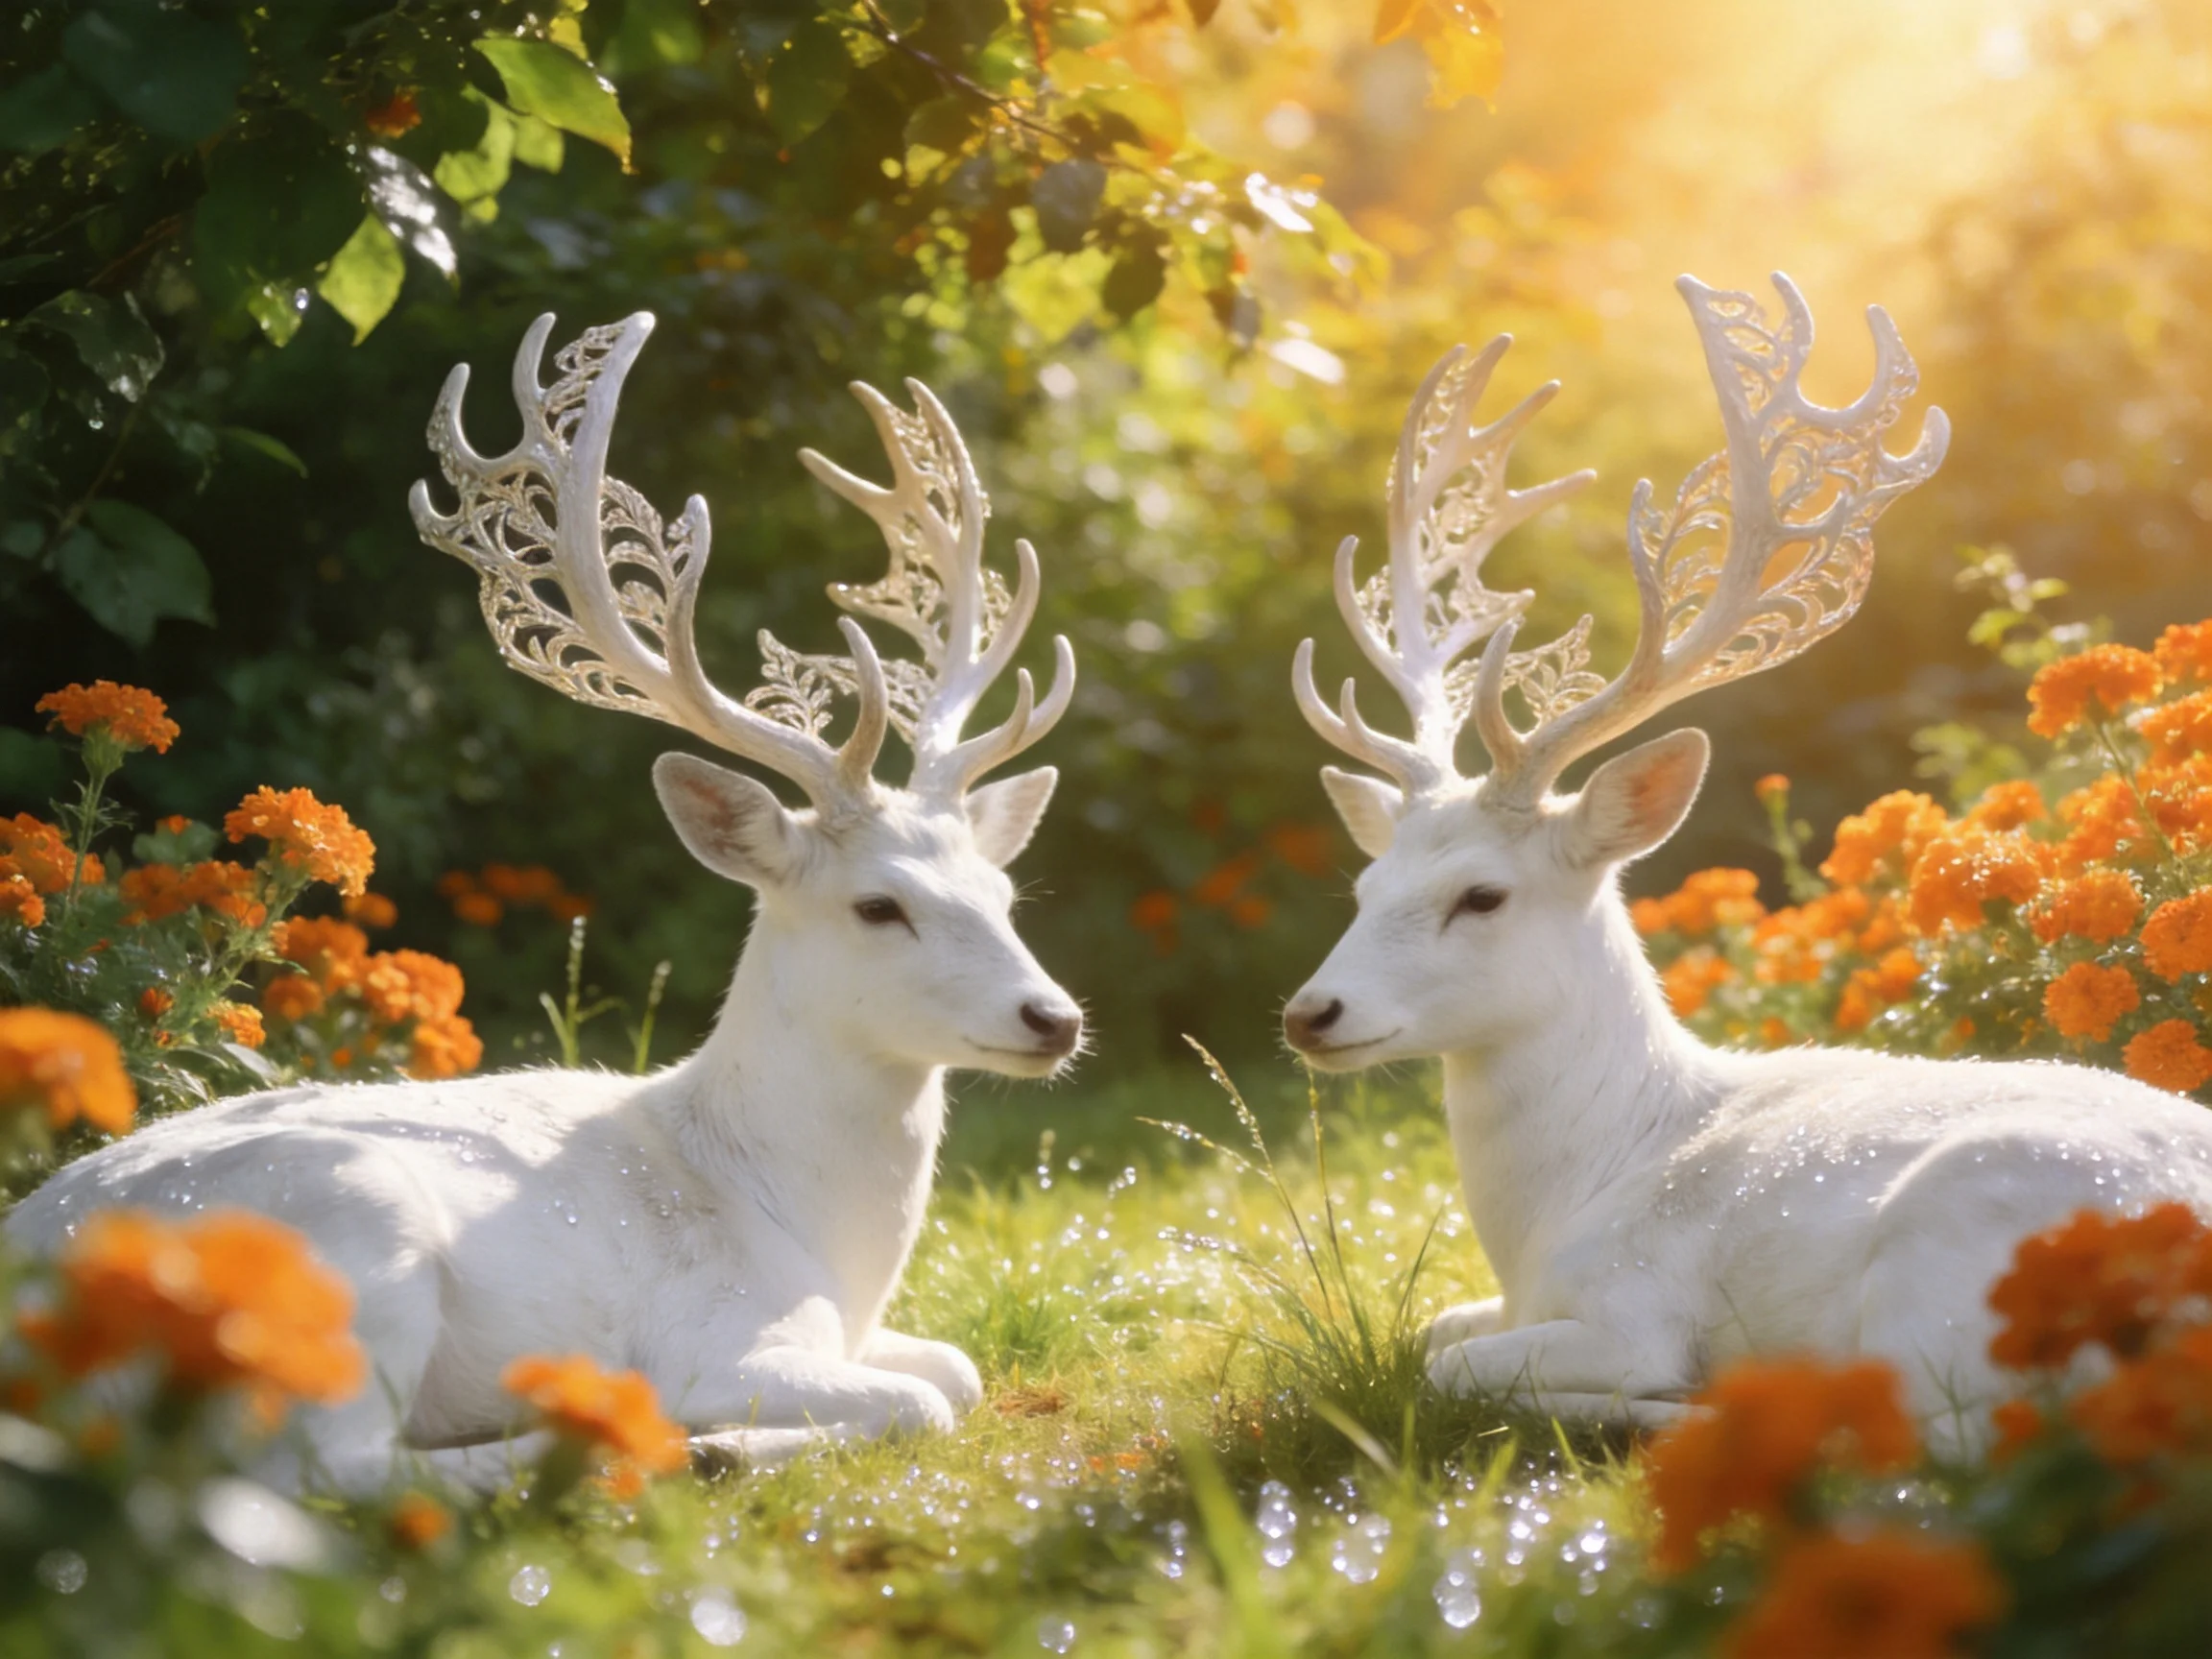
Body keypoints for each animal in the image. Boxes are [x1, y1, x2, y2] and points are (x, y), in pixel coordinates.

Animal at [6, 312, 1085, 1493]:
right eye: (879, 906)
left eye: (1004, 890)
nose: (1054, 1017)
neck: (801, 1222)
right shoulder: (715, 1336)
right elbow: (926, 1399)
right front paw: (718, 1436)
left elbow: (957, 1369)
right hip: (346, 1250)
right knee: (331, 1474)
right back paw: (633, 1439)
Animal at [1279, 274, 2212, 1449]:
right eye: (1365, 885)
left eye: (1482, 895)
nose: (1310, 1013)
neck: (1570, 1198)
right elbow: (1432, 1329)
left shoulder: (1630, 1302)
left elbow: (1435, 1366)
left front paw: (1657, 1392)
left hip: (1953, 1281)